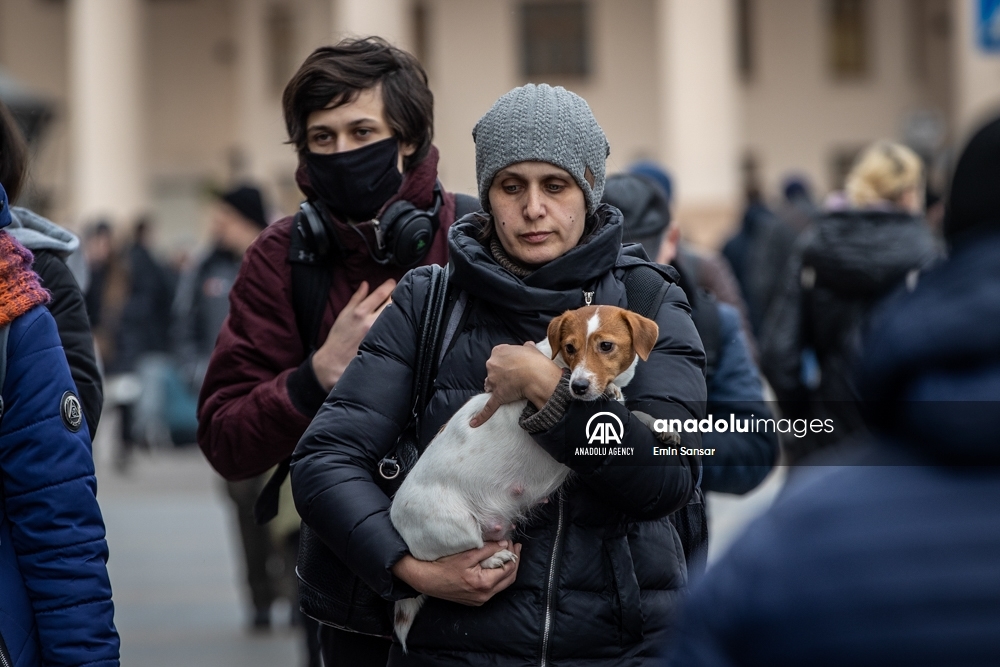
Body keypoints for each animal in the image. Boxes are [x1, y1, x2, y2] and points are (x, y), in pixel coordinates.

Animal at [386, 306, 676, 648]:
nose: (577, 387)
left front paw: (661, 427)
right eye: (570, 347)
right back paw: (492, 560)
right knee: (456, 559)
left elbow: (636, 417)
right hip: (456, 527)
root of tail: (399, 525)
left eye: (606, 346)